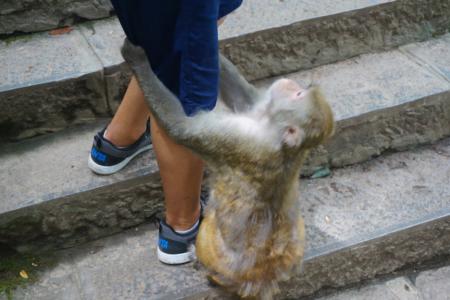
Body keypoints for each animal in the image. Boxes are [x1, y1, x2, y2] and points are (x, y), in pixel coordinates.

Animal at [121, 38, 336, 298]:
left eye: (297, 94)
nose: (292, 83)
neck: (281, 141)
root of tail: (262, 279)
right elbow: (243, 98)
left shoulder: (240, 137)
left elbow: (182, 128)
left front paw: (136, 58)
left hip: (215, 252)